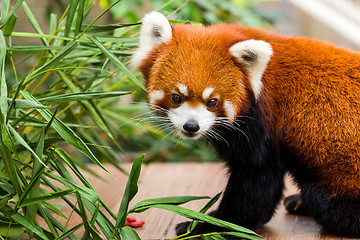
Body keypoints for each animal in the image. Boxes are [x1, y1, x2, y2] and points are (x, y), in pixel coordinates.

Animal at [131, 12, 360, 237]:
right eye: (176, 97)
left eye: (212, 101)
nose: (191, 126)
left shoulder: (262, 123)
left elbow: (256, 180)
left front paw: (213, 224)